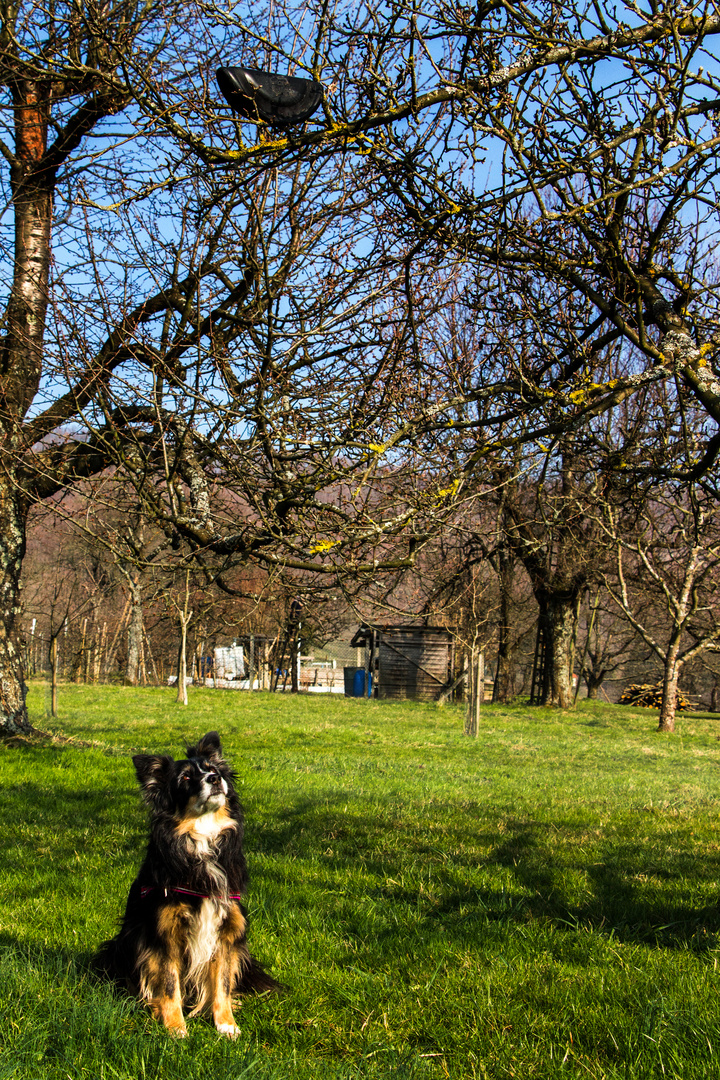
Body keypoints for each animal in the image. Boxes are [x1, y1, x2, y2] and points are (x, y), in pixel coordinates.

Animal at [95, 734, 276, 1036]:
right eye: (186, 778)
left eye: (211, 768)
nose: (214, 778)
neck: (201, 836)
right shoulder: (164, 932)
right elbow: (169, 983)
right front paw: (175, 1028)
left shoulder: (226, 928)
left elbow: (222, 983)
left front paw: (226, 1025)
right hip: (117, 947)